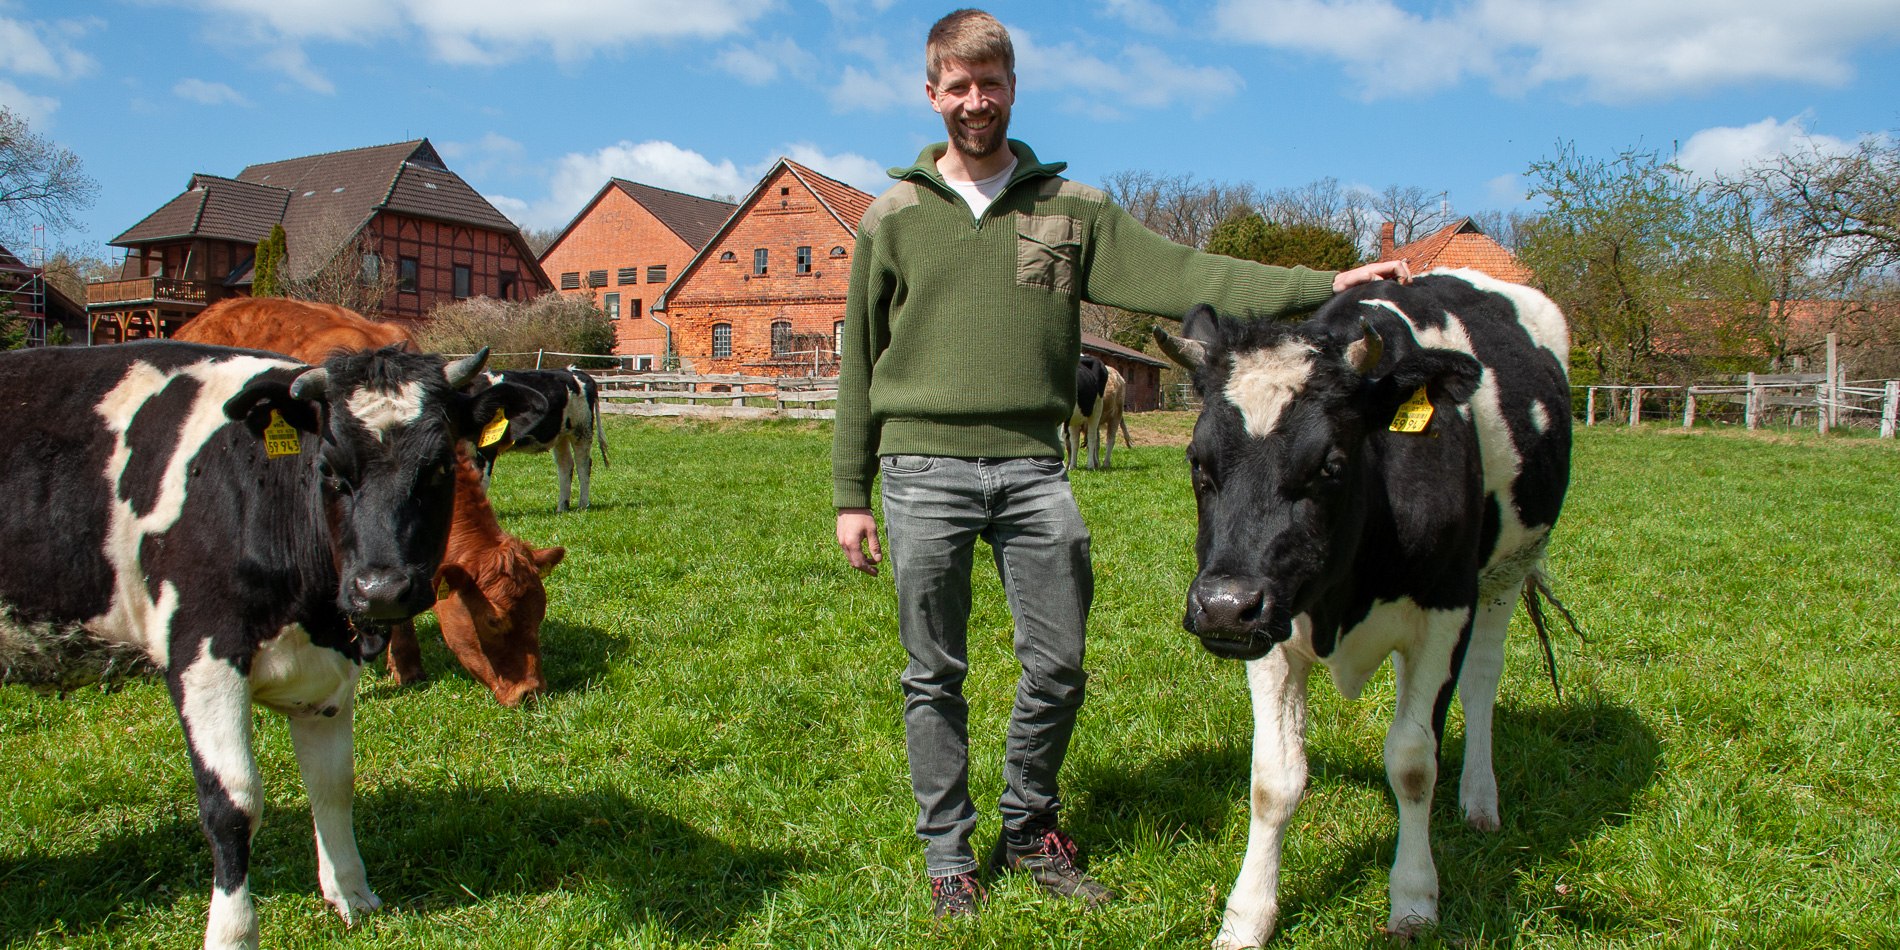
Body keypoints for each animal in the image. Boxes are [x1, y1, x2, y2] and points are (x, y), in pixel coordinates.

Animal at [0, 342, 543, 950]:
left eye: (441, 466)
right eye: (328, 469)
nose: (380, 590)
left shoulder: (326, 673)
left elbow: (333, 785)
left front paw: (350, 893)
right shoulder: (203, 658)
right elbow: (232, 805)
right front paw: (233, 933)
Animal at [469, 366, 608, 513]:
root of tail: (574, 370)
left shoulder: (487, 448)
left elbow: (481, 481)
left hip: (581, 430)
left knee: (583, 464)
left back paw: (583, 505)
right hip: (561, 435)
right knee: (566, 465)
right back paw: (562, 507)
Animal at [1155, 269, 1573, 950]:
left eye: (1330, 464)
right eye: (1198, 462)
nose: (1222, 607)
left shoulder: (1445, 613)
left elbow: (1413, 763)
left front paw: (1415, 899)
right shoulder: (1271, 631)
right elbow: (1273, 778)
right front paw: (1247, 916)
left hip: (1507, 571)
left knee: (1481, 681)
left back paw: (1480, 801)